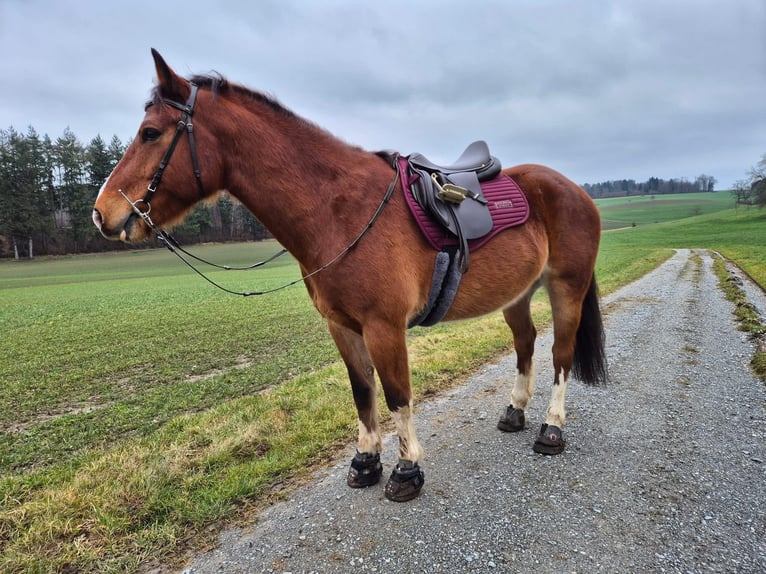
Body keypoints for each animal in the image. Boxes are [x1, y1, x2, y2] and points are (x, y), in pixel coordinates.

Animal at [91, 50, 608, 504]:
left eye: (151, 133)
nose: (102, 214)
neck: (339, 212)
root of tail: (572, 188)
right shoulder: (341, 325)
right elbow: (363, 392)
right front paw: (365, 462)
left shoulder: (384, 326)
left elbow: (397, 394)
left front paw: (406, 471)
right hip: (517, 295)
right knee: (525, 344)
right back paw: (515, 412)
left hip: (567, 287)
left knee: (561, 355)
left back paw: (551, 428)